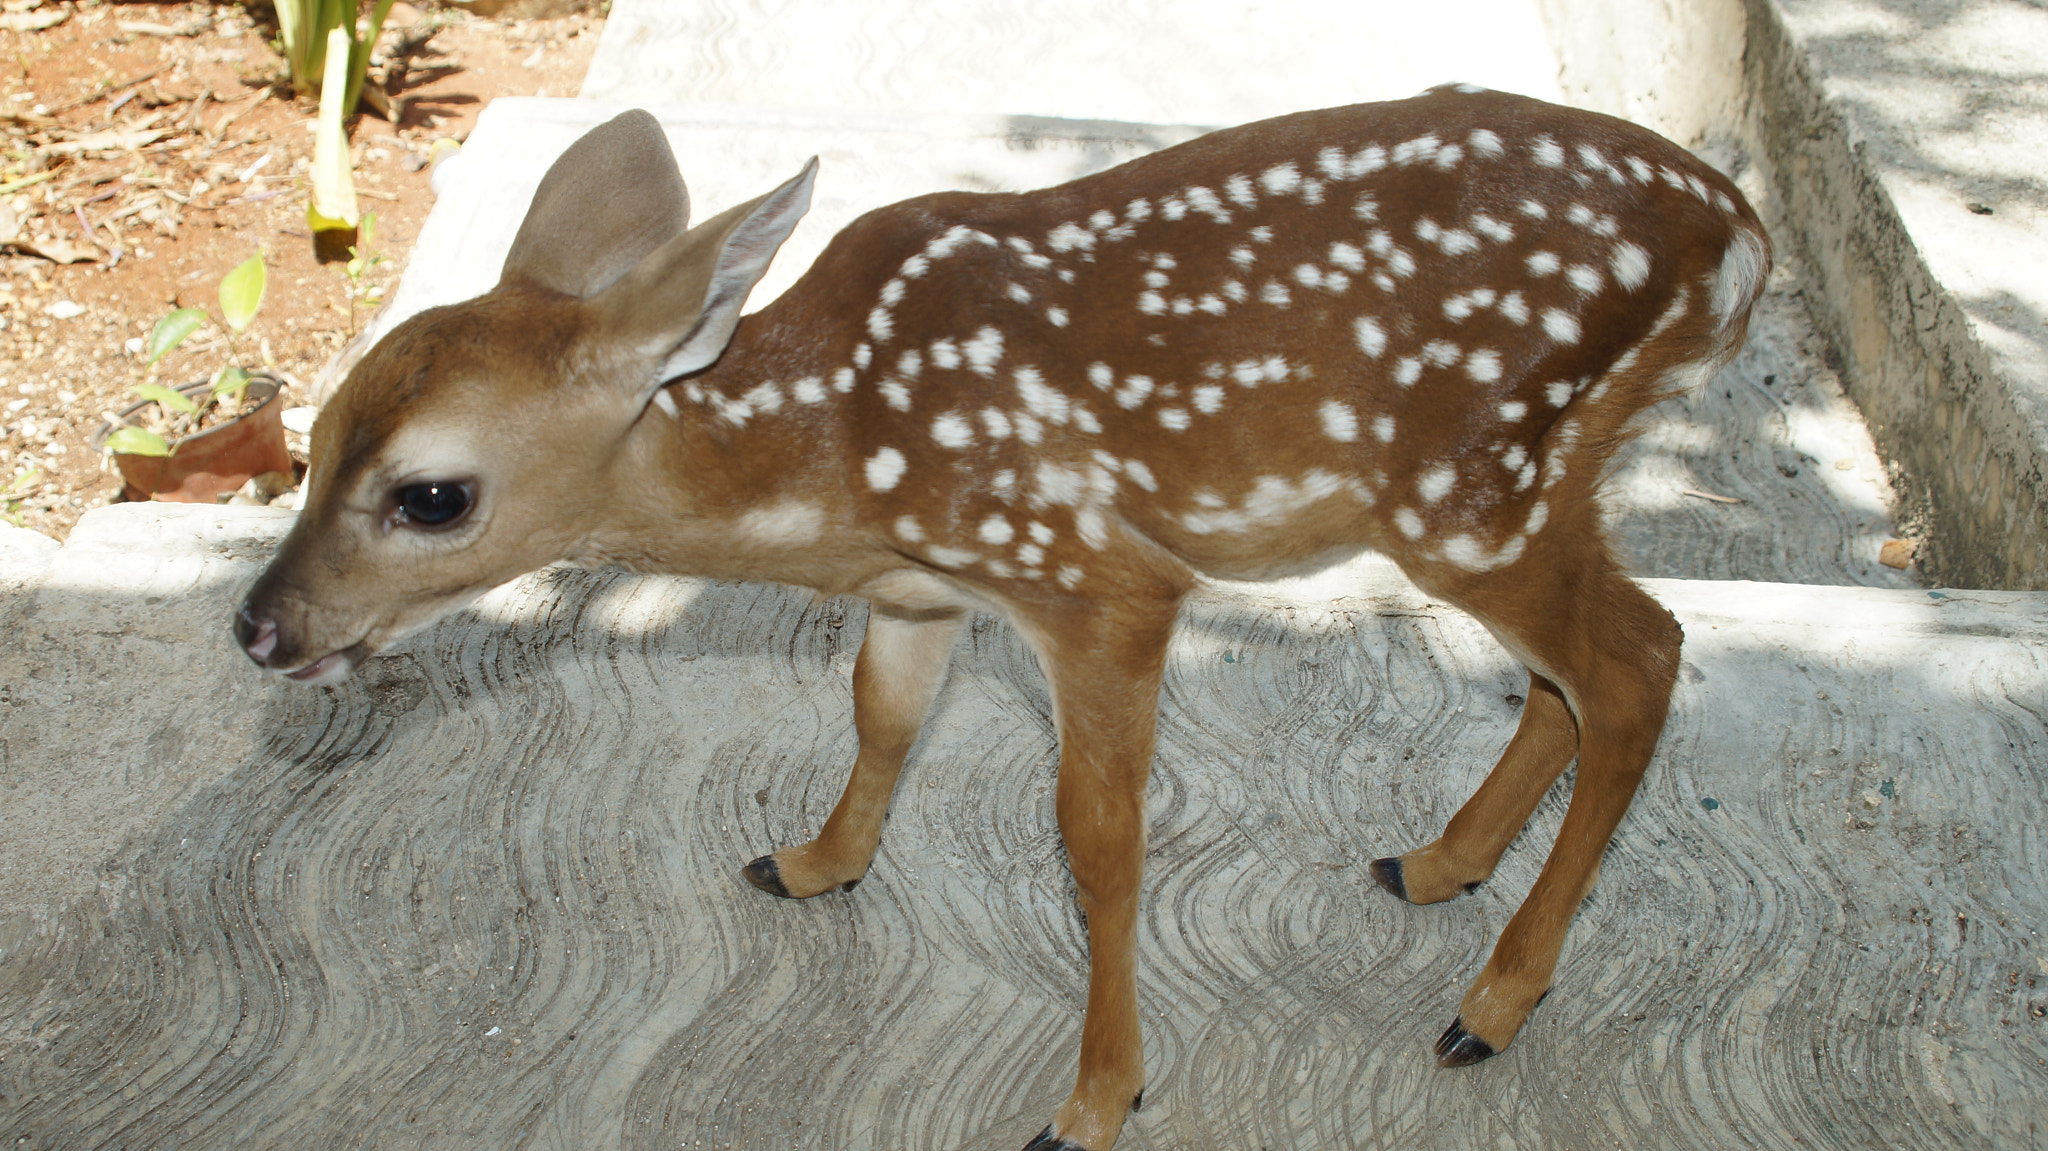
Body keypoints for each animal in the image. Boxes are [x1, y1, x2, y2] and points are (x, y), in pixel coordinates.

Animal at [235, 84, 1761, 1138]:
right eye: (311, 438)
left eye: (432, 495)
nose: (260, 627)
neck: (838, 448)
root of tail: (1739, 234)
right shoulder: (926, 587)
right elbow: (881, 715)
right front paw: (810, 860)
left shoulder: (1091, 574)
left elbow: (1098, 840)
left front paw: (1095, 1098)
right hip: (1524, 481)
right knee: (1584, 667)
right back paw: (1434, 864)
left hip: (1466, 484)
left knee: (1639, 661)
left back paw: (1487, 1005)